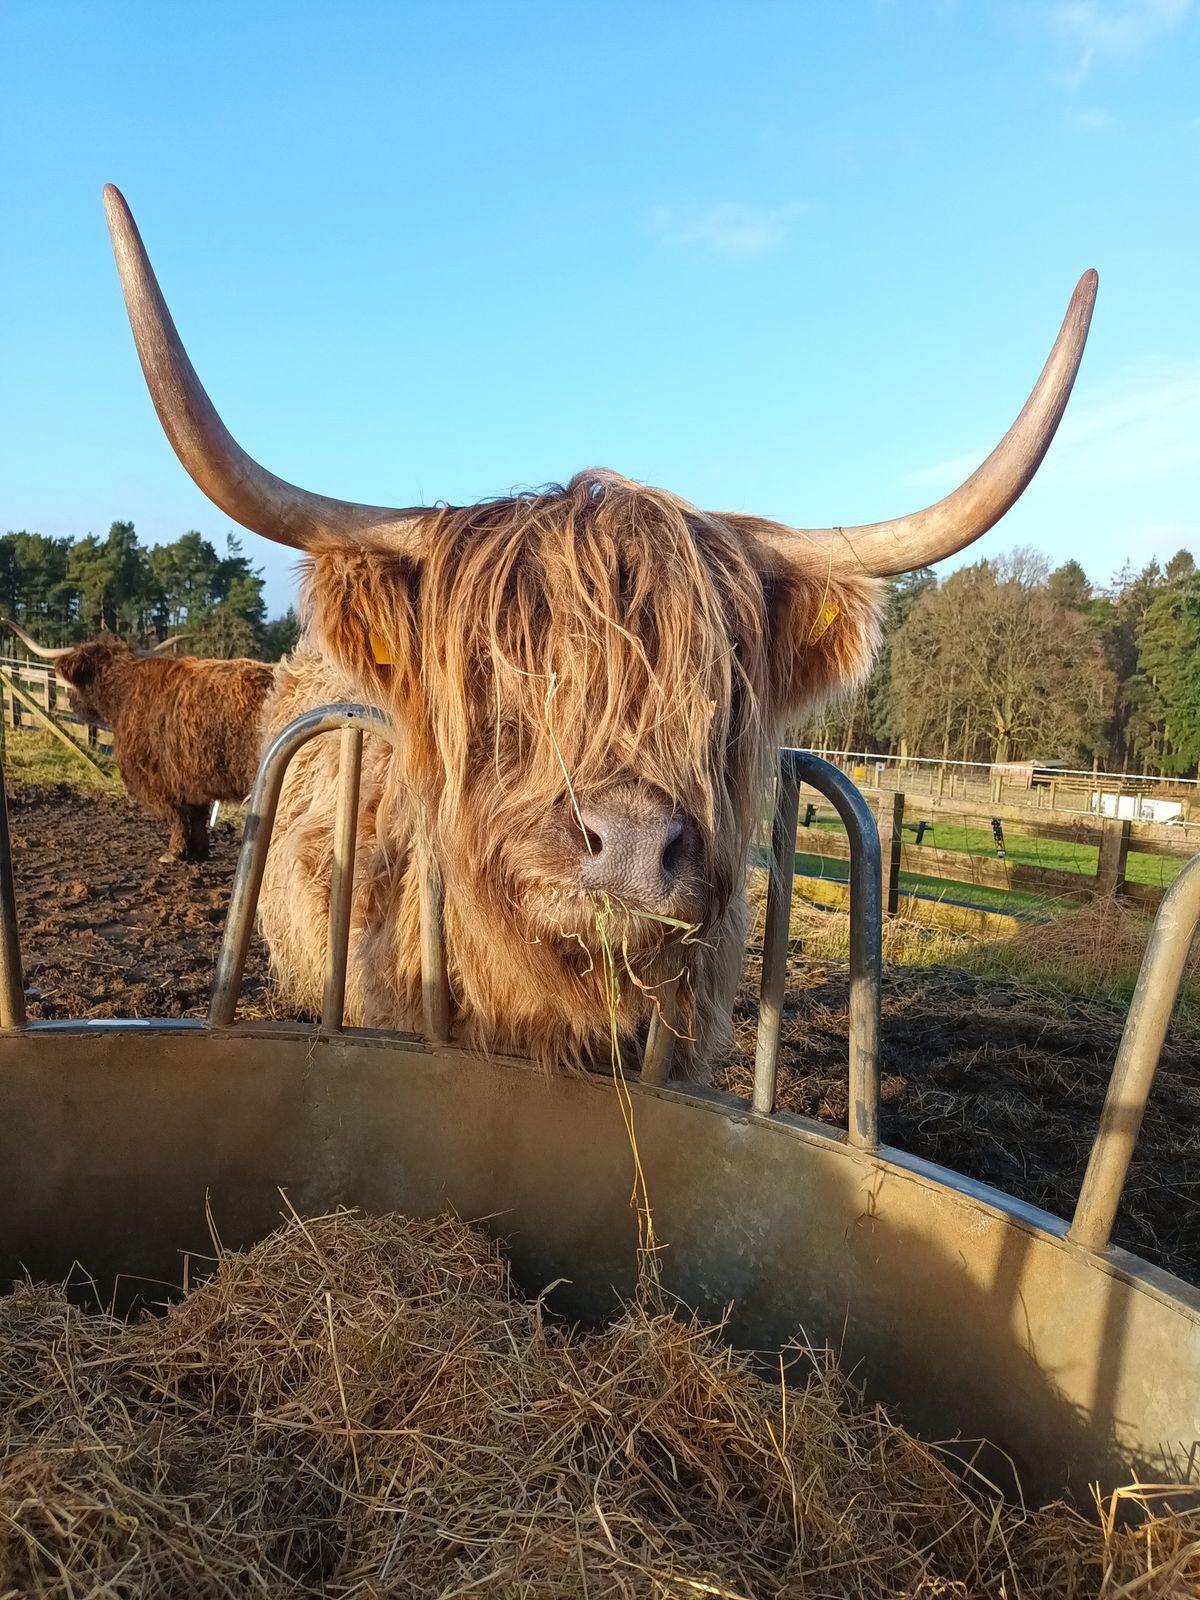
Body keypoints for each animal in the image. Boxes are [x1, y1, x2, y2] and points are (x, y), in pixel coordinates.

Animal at [1, 617, 272, 864]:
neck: (125, 691)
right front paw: (198, 851)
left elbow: (177, 816)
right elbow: (196, 817)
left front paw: (173, 853)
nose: (72, 701)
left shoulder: (159, 778)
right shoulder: (193, 780)